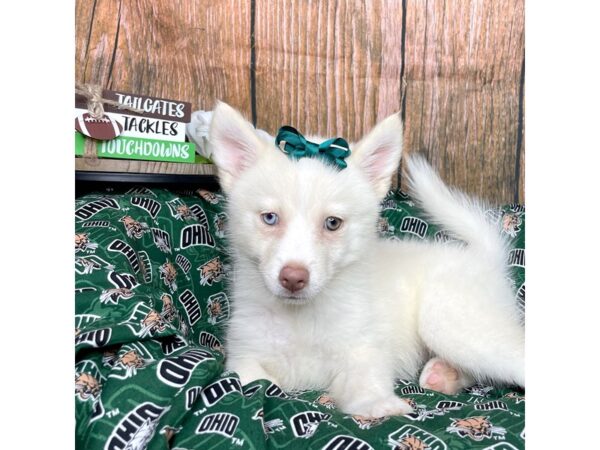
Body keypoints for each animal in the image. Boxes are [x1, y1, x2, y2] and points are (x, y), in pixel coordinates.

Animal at [207, 102, 524, 418]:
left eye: (332, 223)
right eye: (270, 218)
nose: (293, 278)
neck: (301, 318)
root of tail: (484, 257)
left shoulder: (364, 350)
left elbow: (364, 382)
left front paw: (379, 404)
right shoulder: (244, 356)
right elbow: (255, 380)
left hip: (451, 323)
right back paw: (444, 375)